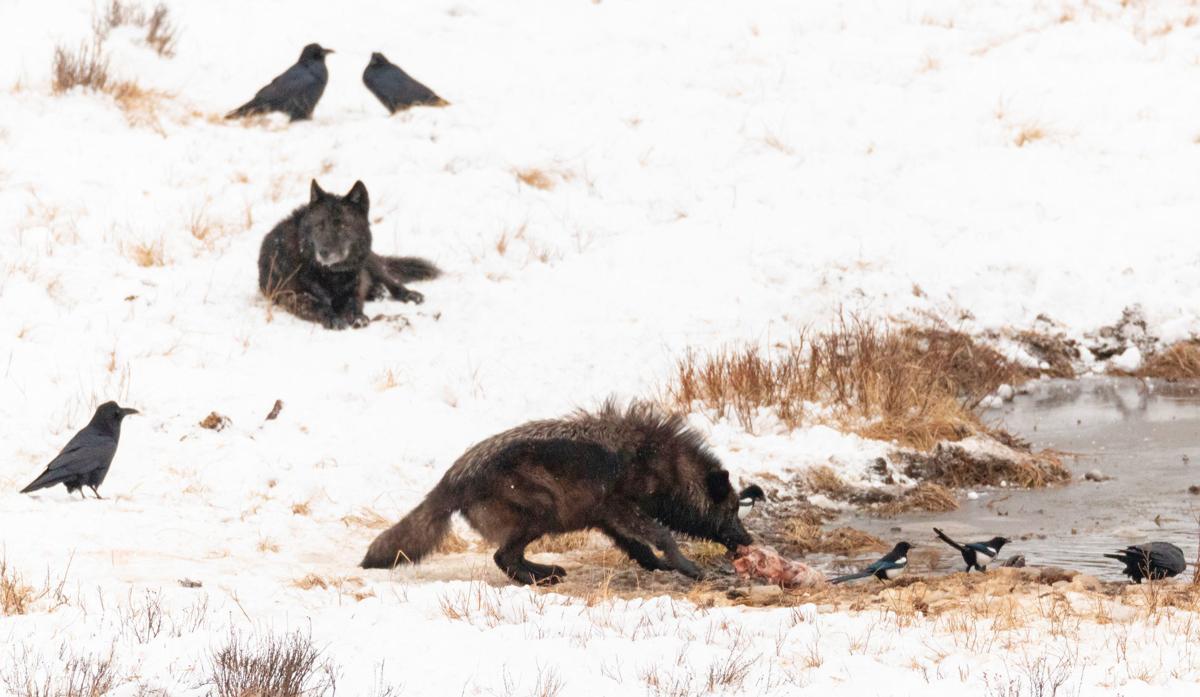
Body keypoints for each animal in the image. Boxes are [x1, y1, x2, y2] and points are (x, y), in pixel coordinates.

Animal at [259, 181, 441, 331]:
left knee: (391, 281)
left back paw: (407, 295)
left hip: (369, 261)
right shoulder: (292, 296)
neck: (329, 274)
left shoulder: (353, 290)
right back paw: (376, 292)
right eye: (319, 226)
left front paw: (357, 318)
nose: (324, 252)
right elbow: (318, 306)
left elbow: (353, 303)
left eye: (343, 226)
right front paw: (333, 318)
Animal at [357, 400, 758, 585]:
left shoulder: (608, 520)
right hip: (541, 514)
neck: (663, 464)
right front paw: (687, 567)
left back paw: (545, 573)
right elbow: (662, 535)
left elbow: (640, 548)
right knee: (504, 557)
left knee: (508, 558)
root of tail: (450, 478)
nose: (749, 541)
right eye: (732, 510)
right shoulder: (621, 509)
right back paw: (543, 577)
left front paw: (660, 565)